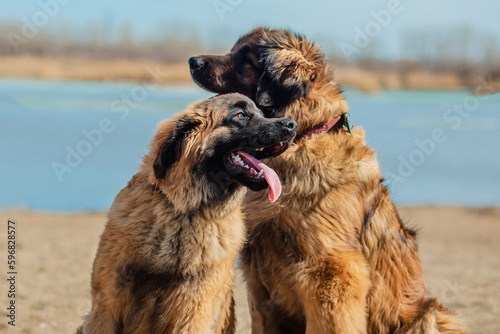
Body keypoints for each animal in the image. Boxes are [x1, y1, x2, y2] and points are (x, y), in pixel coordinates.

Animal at [75, 92, 296, 332]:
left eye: (262, 113)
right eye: (240, 115)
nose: (291, 124)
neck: (185, 213)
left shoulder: (193, 310)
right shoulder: (107, 303)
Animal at [188, 28, 464, 334]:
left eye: (244, 58)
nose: (192, 61)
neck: (301, 141)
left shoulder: (332, 274)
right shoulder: (260, 284)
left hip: (431, 316)